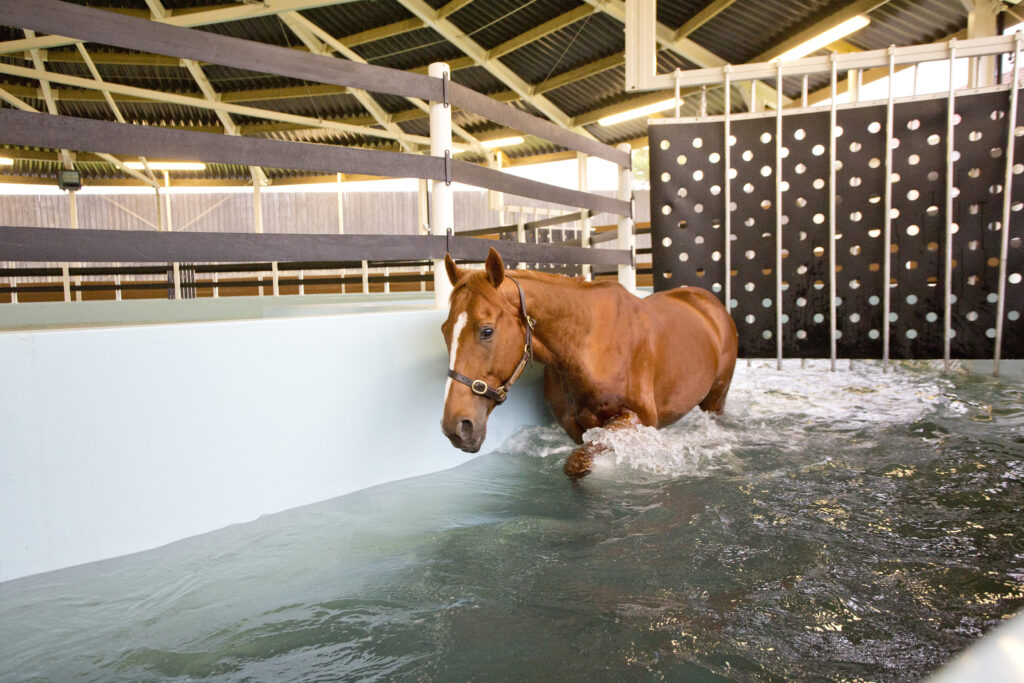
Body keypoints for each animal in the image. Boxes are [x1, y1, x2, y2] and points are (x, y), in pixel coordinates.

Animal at [440, 247, 738, 478]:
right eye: (445, 330)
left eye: (487, 331)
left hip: (716, 399)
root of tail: (708, 302)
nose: (456, 427)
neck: (590, 348)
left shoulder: (639, 419)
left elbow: (577, 464)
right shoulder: (576, 428)